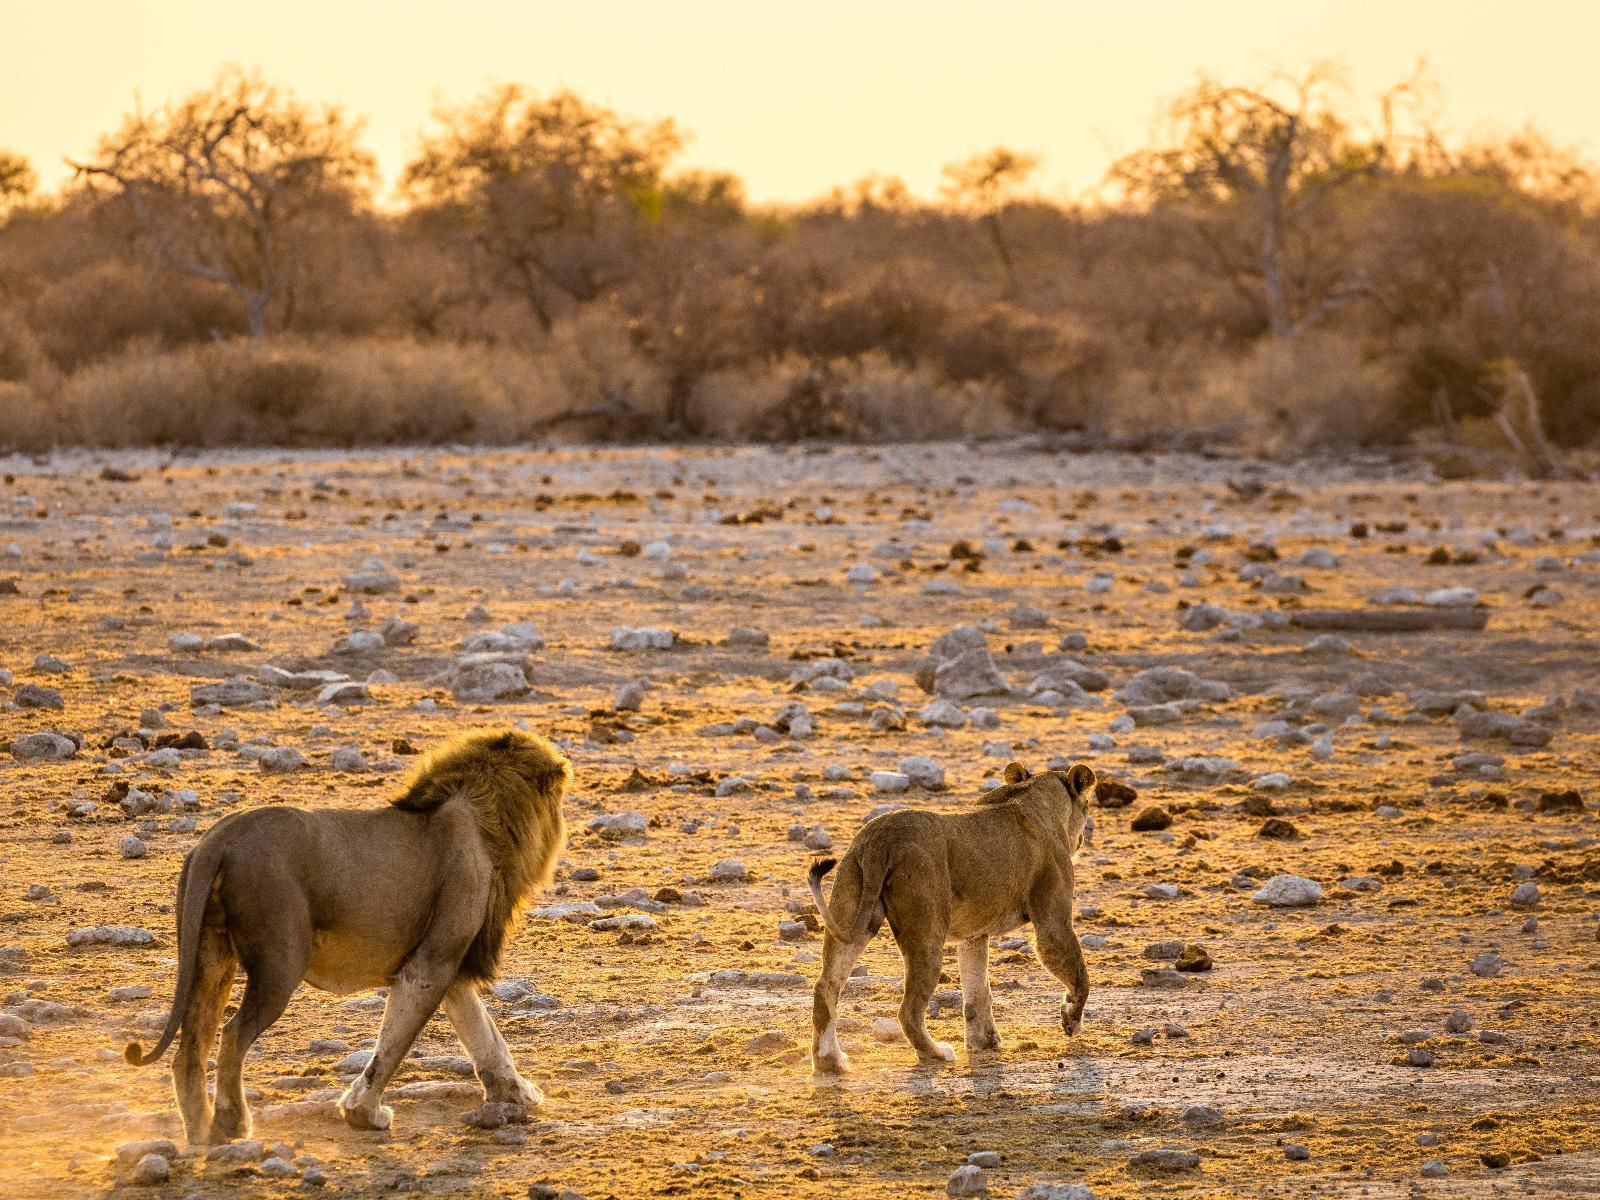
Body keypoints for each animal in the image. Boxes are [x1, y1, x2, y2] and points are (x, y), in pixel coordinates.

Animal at [128, 729, 572, 1152]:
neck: (485, 815)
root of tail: (218, 840)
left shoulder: (451, 961)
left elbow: (483, 1032)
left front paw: (515, 1091)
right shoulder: (432, 961)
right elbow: (395, 1041)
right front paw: (363, 1112)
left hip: (212, 954)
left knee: (191, 1047)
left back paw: (200, 1133)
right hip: (280, 960)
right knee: (233, 1034)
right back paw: (231, 1124)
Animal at [806, 761, 1094, 1068]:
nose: (1082, 839)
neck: (1035, 795)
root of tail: (882, 838)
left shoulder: (974, 934)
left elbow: (978, 991)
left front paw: (984, 1043)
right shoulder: (1053, 923)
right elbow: (1079, 975)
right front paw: (1071, 1022)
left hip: (852, 911)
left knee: (825, 988)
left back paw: (829, 1061)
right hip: (927, 930)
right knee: (908, 1010)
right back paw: (935, 1052)